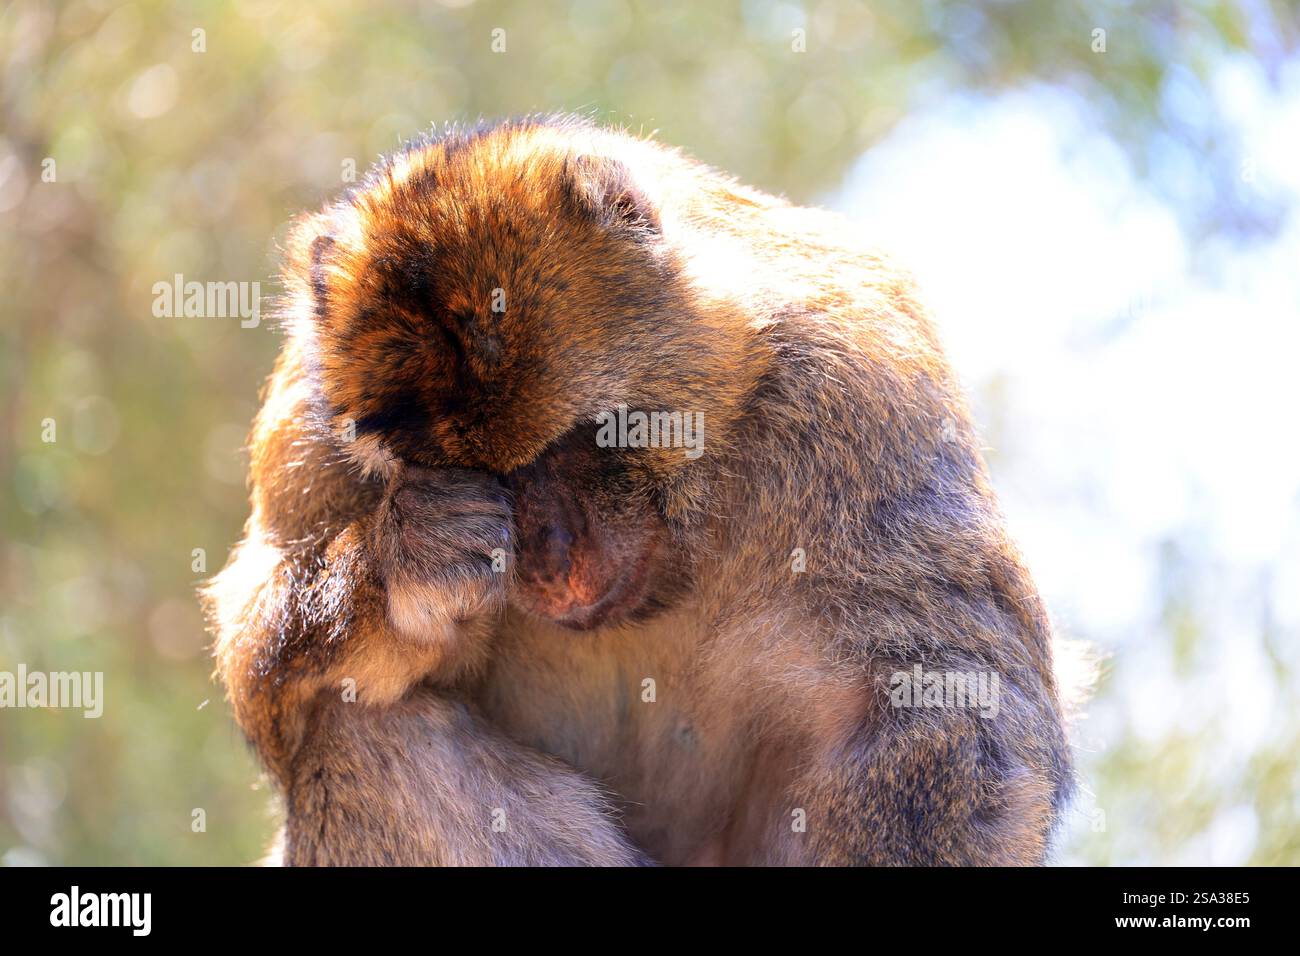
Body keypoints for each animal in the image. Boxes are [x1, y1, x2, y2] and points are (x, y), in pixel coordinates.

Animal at [201, 115, 1074, 866]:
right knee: (362, 726)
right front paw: (404, 556)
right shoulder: (308, 423)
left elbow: (940, 699)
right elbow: (263, 684)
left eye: (568, 443)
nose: (547, 565)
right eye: (470, 475)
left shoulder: (857, 390)